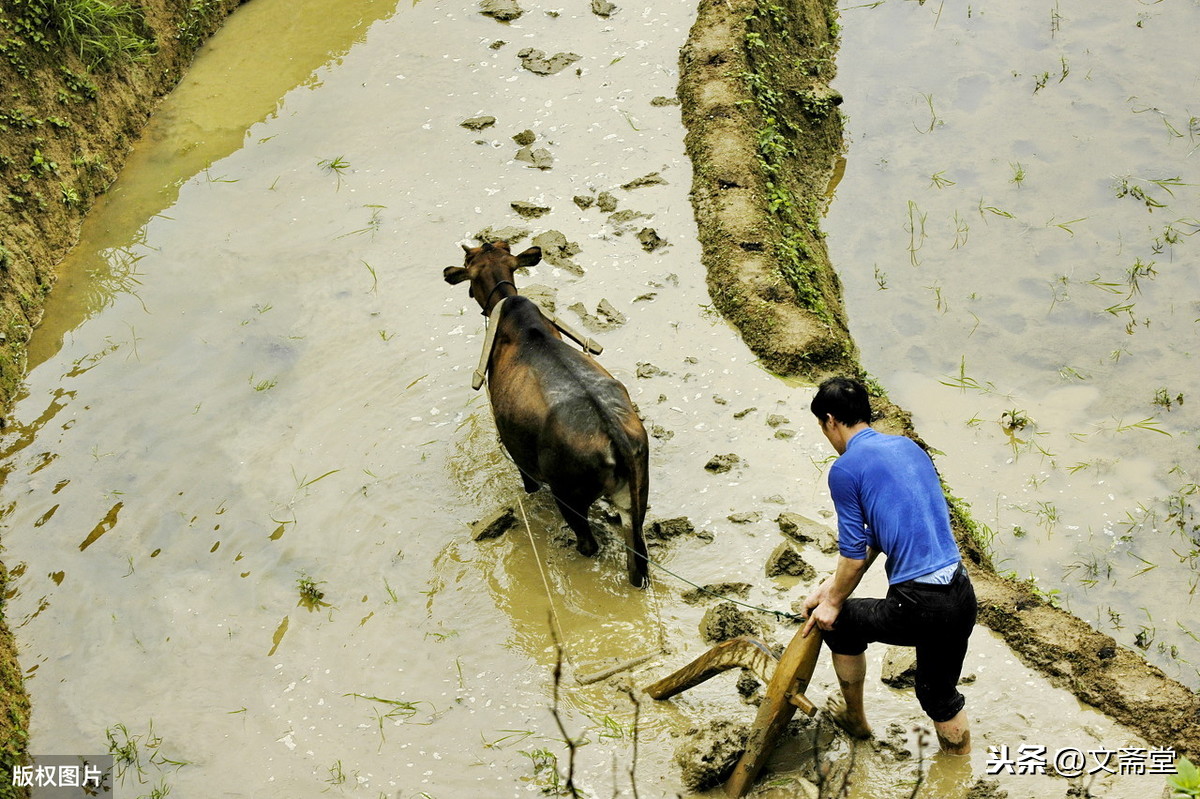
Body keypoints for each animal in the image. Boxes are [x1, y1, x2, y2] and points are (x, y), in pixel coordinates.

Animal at [446, 239, 648, 583]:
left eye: (468, 263)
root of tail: (616, 436)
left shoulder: (518, 456)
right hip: (637, 498)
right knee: (639, 563)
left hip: (568, 495)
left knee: (588, 544)